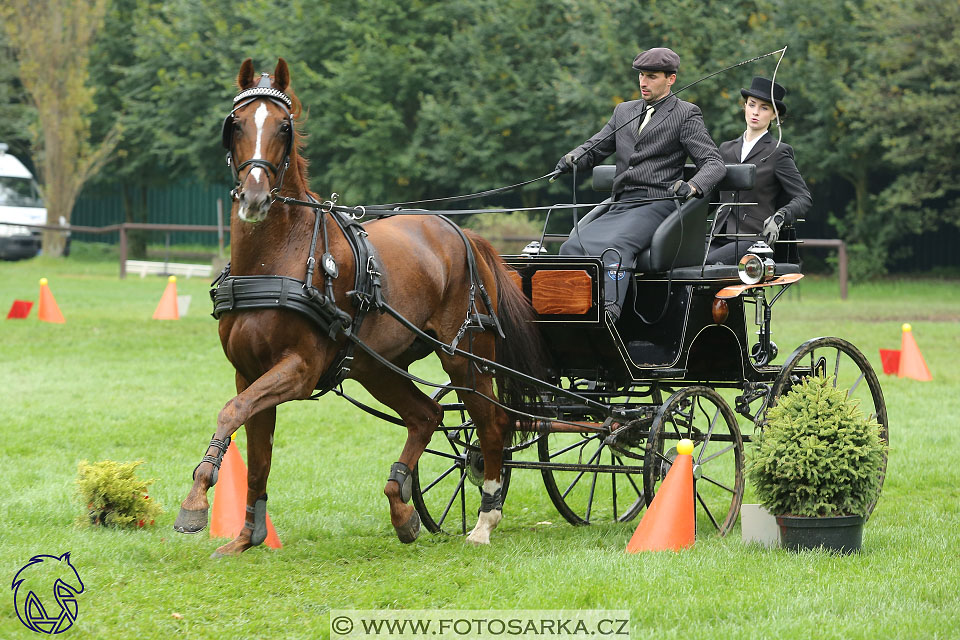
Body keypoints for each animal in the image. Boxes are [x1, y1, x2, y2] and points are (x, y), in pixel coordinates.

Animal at [174, 58, 548, 556]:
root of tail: (463, 234)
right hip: (377, 367)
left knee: (492, 424)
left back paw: (484, 520)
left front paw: (196, 501)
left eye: (284, 127)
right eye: (235, 124)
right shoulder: (248, 371)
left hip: (466, 358)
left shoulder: (298, 370)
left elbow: (232, 412)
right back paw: (402, 509)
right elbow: (256, 449)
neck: (279, 257)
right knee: (426, 417)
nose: (254, 197)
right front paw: (246, 535)